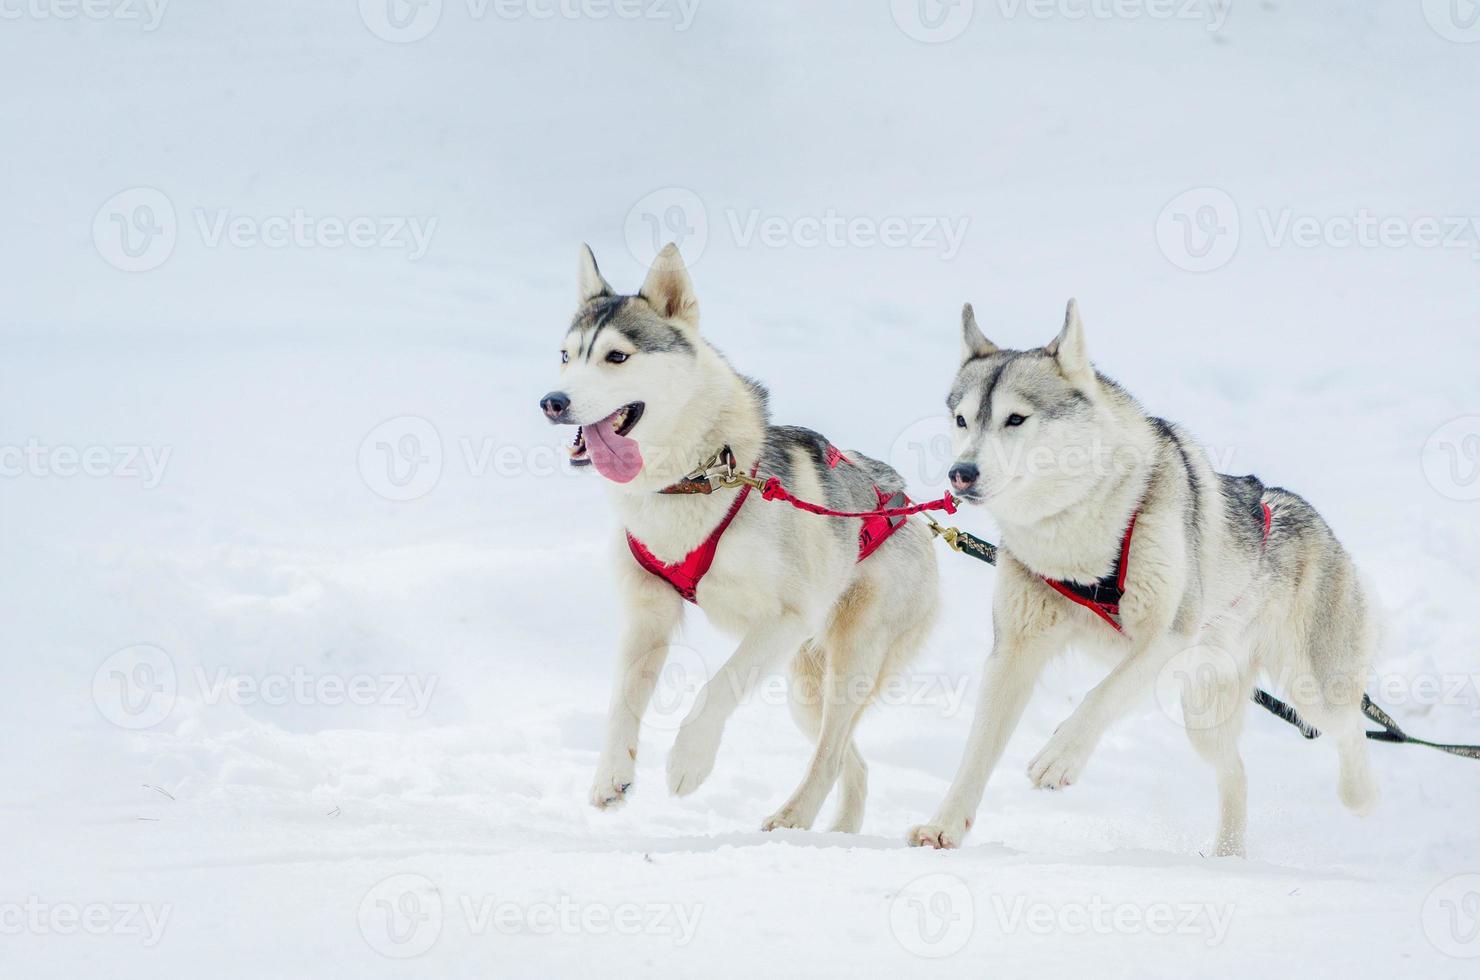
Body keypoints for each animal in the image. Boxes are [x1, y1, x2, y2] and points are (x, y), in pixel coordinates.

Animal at [541, 241, 935, 834]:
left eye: (616, 357)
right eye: (566, 356)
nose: (553, 401)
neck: (693, 478)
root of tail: (907, 503)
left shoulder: (785, 620)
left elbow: (718, 685)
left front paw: (688, 760)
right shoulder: (647, 615)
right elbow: (622, 701)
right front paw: (611, 775)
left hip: (848, 660)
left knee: (829, 754)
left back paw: (792, 820)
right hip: (804, 687)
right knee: (850, 758)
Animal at [905, 303, 1379, 858]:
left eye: (1015, 419)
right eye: (962, 420)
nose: (961, 473)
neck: (1078, 540)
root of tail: (1311, 517)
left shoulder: (1167, 636)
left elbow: (1100, 695)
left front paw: (1060, 756)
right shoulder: (1013, 654)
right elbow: (977, 750)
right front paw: (944, 825)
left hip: (1312, 688)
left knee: (1350, 728)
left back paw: (1360, 796)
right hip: (1203, 715)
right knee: (1237, 774)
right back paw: (1227, 857)